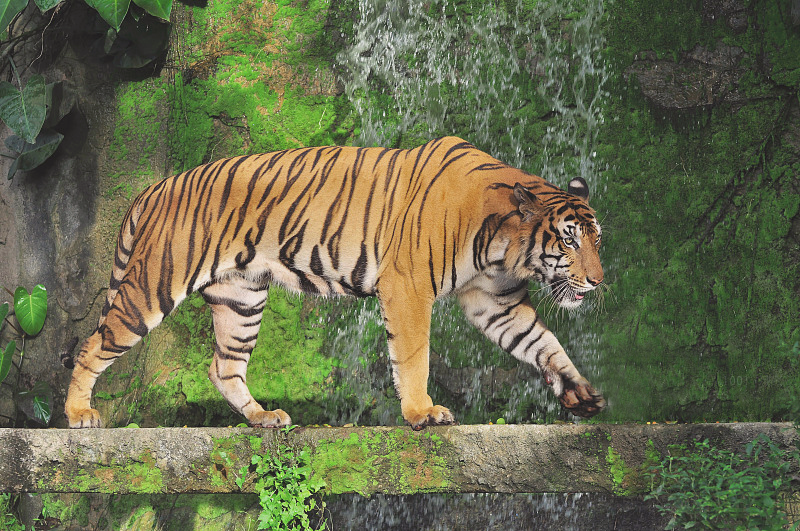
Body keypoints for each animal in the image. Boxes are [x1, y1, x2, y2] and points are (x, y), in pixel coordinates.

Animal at [65, 136, 606, 429]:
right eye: (570, 240)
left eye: (597, 239)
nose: (599, 282)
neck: (502, 247)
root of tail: (155, 187)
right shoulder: (408, 286)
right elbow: (414, 355)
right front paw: (422, 412)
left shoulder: (495, 301)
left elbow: (543, 343)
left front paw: (581, 392)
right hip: (153, 286)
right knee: (92, 344)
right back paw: (78, 415)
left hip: (242, 299)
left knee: (224, 367)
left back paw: (263, 418)